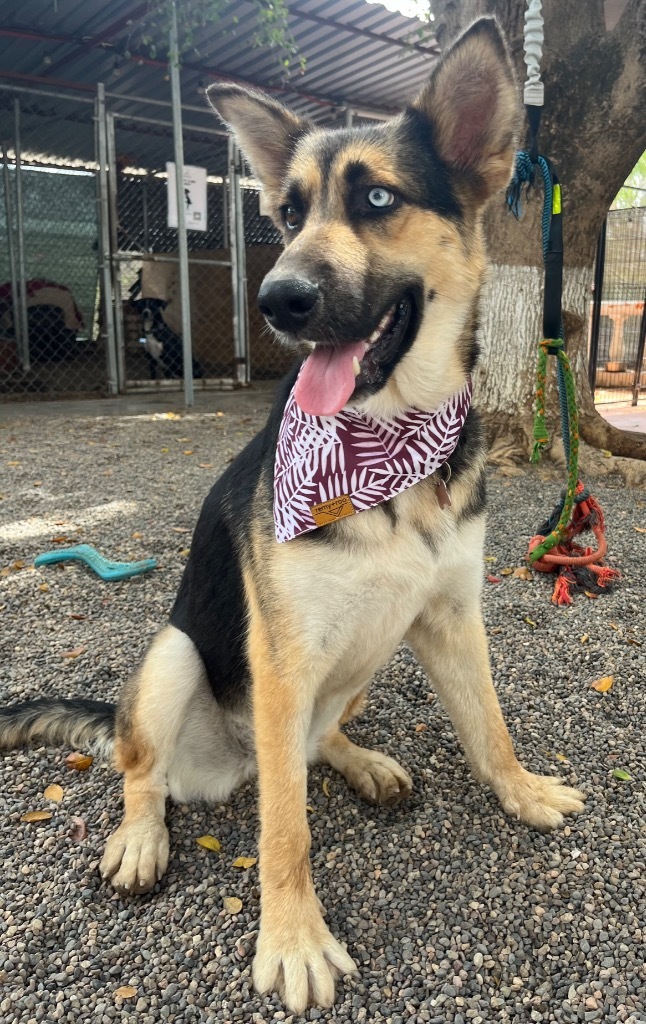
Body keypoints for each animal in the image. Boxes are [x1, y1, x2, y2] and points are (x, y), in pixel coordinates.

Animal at [0, 19, 585, 1011]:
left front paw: (522, 790)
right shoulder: (280, 656)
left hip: (361, 662)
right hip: (177, 653)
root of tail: (226, 762)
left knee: (313, 746)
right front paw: (294, 940)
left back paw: (361, 762)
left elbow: (490, 723)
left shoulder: (449, 617)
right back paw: (142, 837)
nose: (277, 299)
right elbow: (287, 828)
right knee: (148, 772)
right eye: (286, 215)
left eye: (378, 197)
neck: (389, 443)